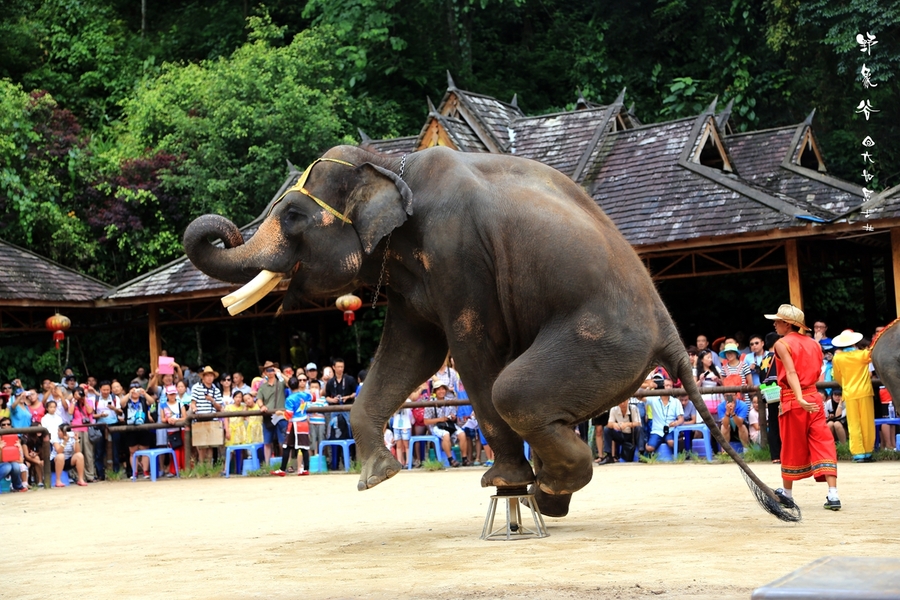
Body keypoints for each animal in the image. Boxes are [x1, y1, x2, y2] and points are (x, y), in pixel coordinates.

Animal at [184, 145, 799, 521]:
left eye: (291, 216)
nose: (226, 229)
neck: (390, 166)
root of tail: (670, 334)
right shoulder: (413, 275)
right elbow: (412, 350)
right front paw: (377, 477)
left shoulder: (458, 255)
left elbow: (471, 353)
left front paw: (500, 480)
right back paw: (547, 497)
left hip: (604, 341)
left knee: (514, 392)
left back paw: (542, 490)